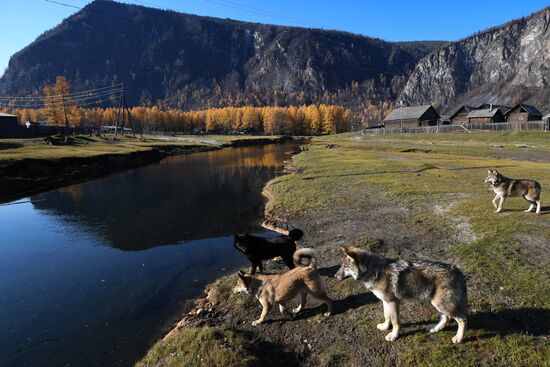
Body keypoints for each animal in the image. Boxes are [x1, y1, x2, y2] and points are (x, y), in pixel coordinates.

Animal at [334, 247, 468, 344]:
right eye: (341, 265)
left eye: (345, 266)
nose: (335, 276)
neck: (376, 271)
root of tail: (457, 270)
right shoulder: (385, 301)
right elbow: (386, 316)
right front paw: (384, 327)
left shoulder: (393, 302)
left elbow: (395, 321)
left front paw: (393, 336)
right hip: (437, 303)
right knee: (446, 318)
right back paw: (434, 329)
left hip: (440, 304)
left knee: (462, 319)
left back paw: (458, 338)